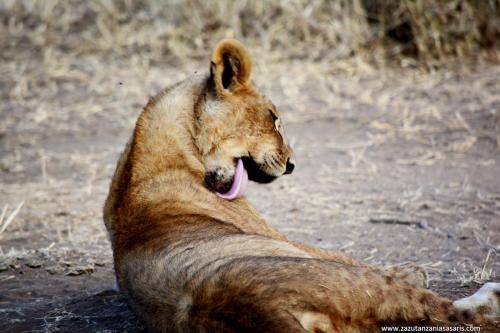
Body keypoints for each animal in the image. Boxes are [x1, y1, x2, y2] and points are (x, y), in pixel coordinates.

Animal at [102, 39, 500, 332]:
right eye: (274, 118)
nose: (292, 165)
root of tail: (257, 310)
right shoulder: (281, 237)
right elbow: (346, 254)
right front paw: (412, 269)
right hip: (353, 283)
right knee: (460, 318)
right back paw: (487, 295)